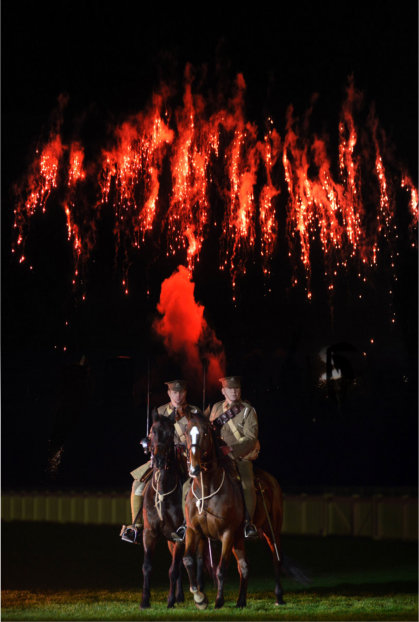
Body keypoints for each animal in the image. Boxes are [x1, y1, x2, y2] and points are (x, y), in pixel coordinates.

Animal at [182, 412, 288, 612]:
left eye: (205, 433)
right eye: (186, 433)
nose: (194, 468)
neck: (208, 488)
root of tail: (271, 480)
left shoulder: (227, 533)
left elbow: (221, 568)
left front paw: (218, 600)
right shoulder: (193, 531)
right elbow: (188, 560)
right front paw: (199, 598)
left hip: (271, 530)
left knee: (276, 559)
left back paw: (279, 596)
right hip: (239, 537)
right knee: (244, 566)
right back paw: (241, 601)